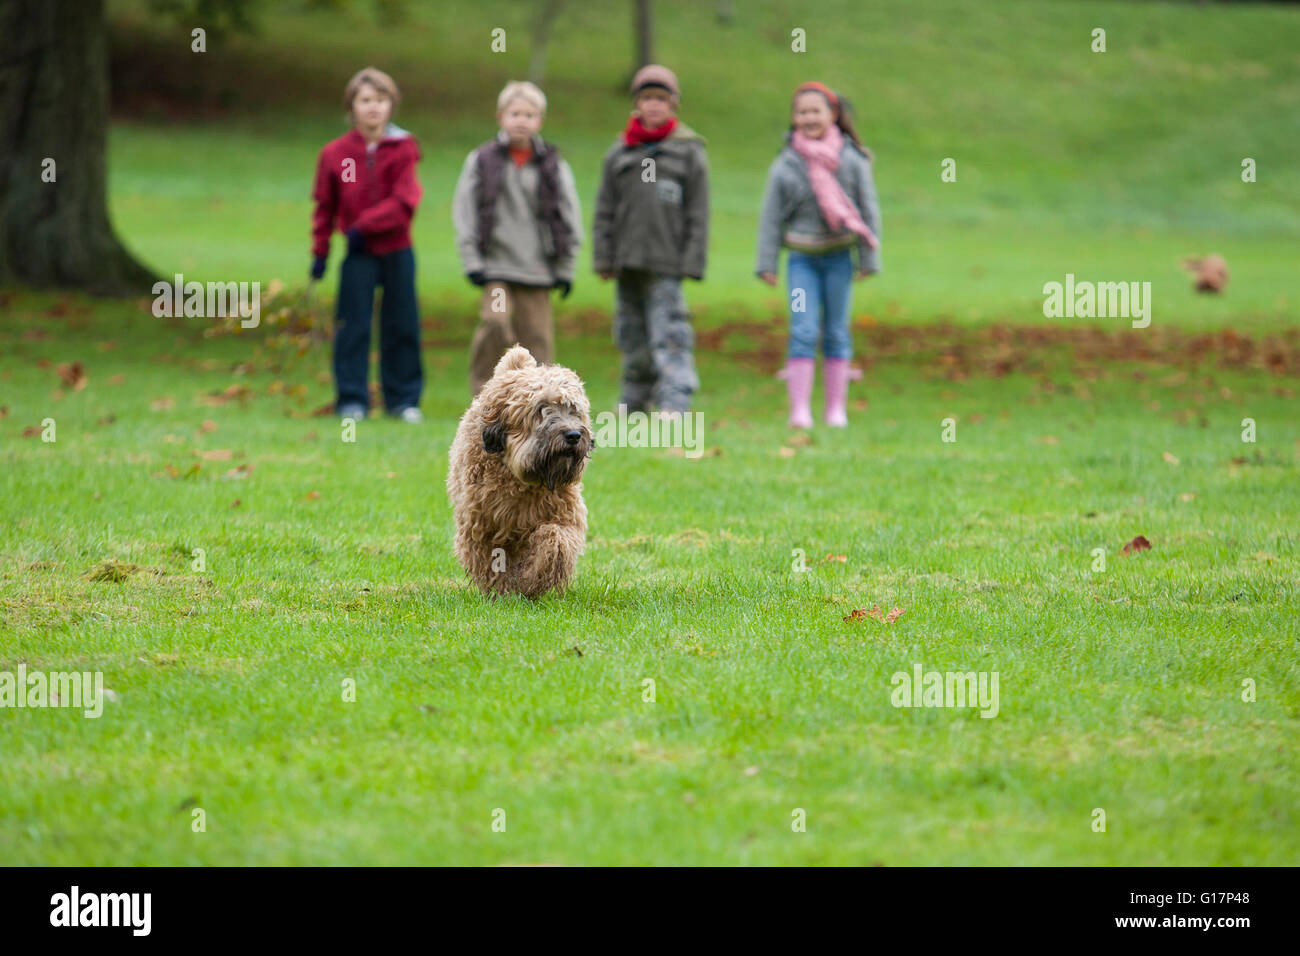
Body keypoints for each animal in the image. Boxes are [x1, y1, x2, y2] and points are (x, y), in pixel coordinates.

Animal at [444, 343, 592, 598]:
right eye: (541, 409)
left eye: (573, 410)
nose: (573, 435)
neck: (522, 480)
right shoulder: (482, 526)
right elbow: (492, 562)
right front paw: (501, 591)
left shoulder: (564, 515)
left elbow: (556, 539)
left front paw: (531, 583)